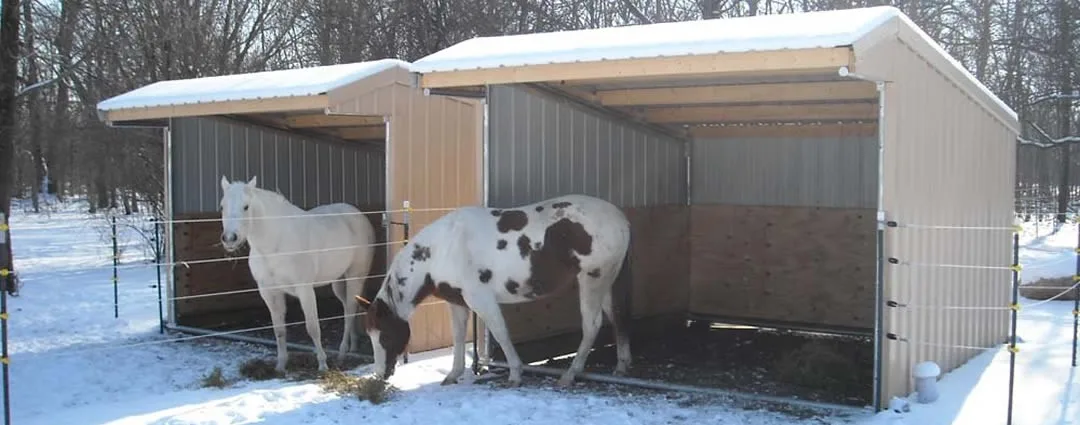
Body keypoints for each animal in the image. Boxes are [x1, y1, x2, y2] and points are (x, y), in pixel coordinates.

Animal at [217, 175, 378, 371]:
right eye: (222, 206)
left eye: (246, 206)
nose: (229, 238)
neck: (274, 244)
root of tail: (358, 215)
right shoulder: (269, 292)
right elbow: (279, 330)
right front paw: (280, 366)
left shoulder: (305, 289)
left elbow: (313, 327)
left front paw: (323, 365)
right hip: (339, 282)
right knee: (349, 308)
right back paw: (353, 346)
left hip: (355, 276)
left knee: (349, 312)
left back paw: (341, 354)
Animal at [354, 194, 630, 386]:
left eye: (385, 336)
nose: (381, 374)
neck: (443, 248)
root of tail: (621, 219)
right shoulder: (457, 302)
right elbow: (457, 337)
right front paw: (453, 375)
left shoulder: (481, 300)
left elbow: (501, 333)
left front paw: (515, 374)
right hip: (605, 282)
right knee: (617, 317)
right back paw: (622, 366)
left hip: (592, 281)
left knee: (592, 325)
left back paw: (570, 375)